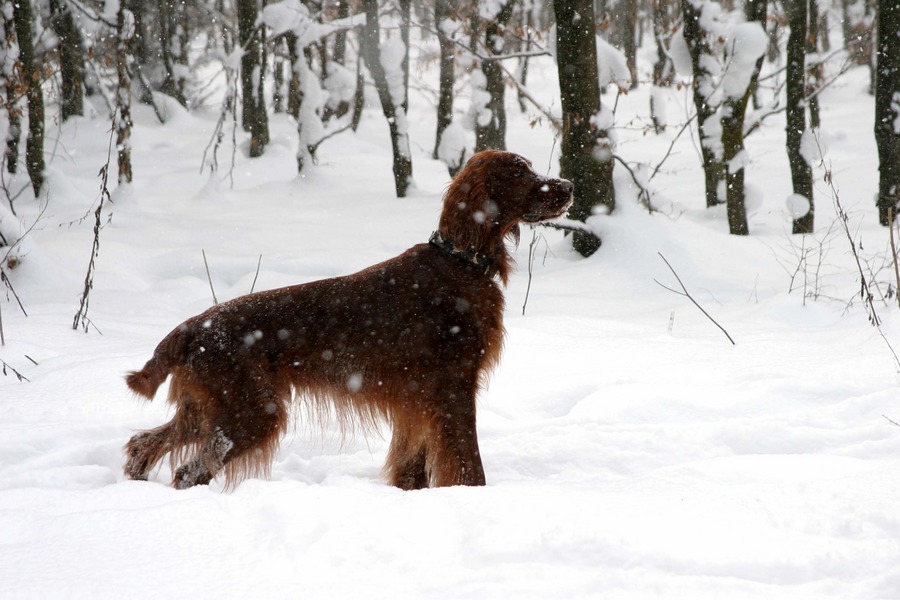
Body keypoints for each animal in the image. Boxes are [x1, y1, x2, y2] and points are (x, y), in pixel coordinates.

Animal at [123, 149, 572, 488]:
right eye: (519, 172)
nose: (567, 186)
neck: (460, 262)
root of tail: (193, 326)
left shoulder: (419, 399)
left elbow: (413, 468)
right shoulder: (453, 388)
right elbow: (467, 463)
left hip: (208, 409)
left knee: (144, 443)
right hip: (250, 411)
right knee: (189, 469)